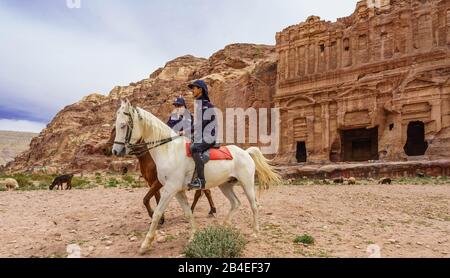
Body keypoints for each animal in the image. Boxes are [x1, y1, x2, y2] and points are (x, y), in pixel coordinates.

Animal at [111, 100, 282, 254]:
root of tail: (246, 152)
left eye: (123, 125)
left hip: (247, 184)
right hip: (225, 185)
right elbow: (188, 212)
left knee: (254, 205)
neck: (169, 150)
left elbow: (157, 212)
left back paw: (255, 232)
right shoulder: (177, 191)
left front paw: (145, 244)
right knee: (235, 203)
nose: (115, 151)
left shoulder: (169, 188)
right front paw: (193, 236)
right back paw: (224, 225)